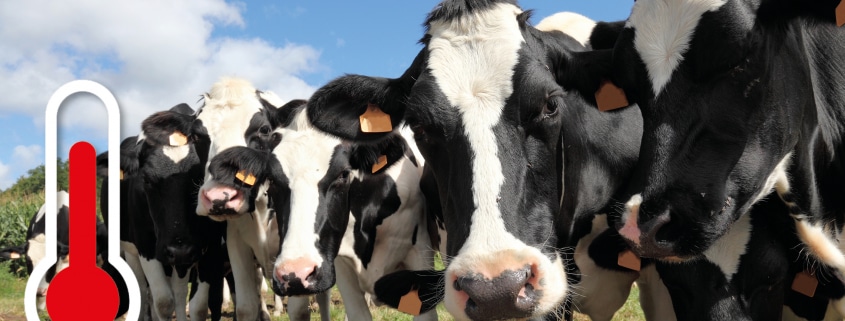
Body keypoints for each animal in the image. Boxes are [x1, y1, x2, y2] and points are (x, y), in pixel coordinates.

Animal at [193, 77, 328, 320]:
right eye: (196, 135)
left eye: (264, 129)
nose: (220, 196)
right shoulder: (237, 245)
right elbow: (246, 305)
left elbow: (299, 309)